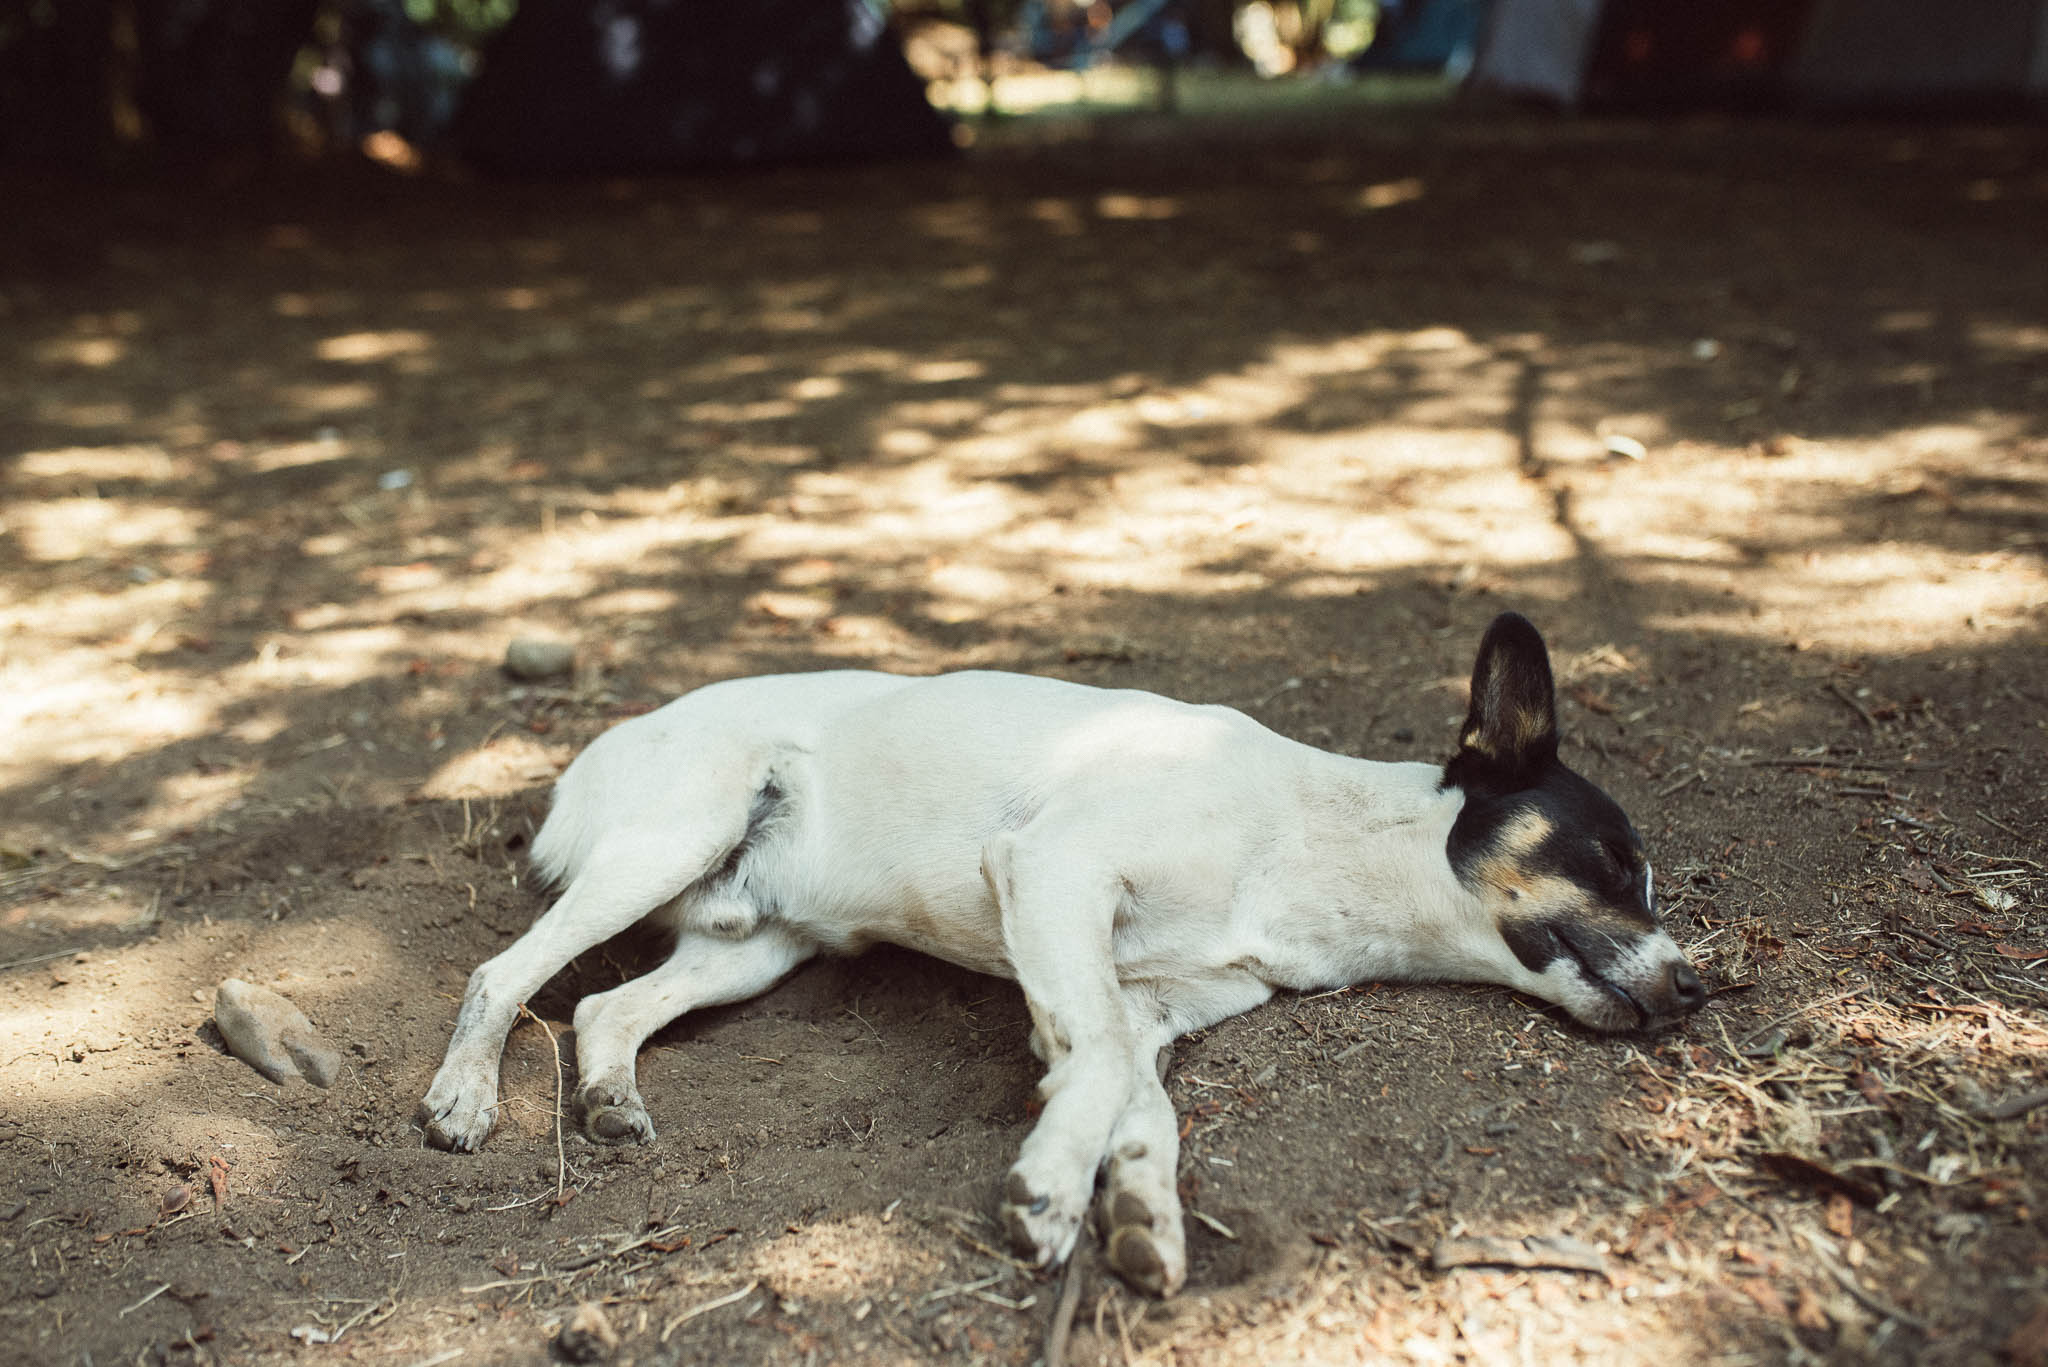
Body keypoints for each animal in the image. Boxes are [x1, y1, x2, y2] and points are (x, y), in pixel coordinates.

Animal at [415, 614, 1695, 1303]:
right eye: (1612, 856)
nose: (1695, 984)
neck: (1309, 845)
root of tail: (603, 743)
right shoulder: (1055, 876)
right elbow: (1094, 1073)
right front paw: (1048, 1193)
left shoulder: (1139, 1000)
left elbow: (1140, 1103)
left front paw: (1140, 1212)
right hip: (669, 841)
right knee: (503, 975)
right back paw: (464, 1097)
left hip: (755, 942)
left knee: (606, 1009)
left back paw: (612, 1100)